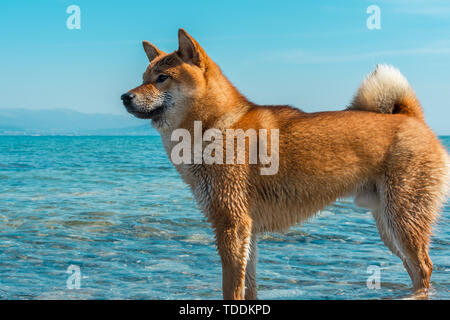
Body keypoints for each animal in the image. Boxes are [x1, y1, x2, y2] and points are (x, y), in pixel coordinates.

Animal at [121, 28, 448, 298]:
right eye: (143, 77)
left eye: (162, 78)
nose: (125, 96)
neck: (216, 126)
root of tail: (413, 119)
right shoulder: (246, 229)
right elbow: (248, 285)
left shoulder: (231, 223)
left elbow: (231, 286)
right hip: (388, 225)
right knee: (417, 269)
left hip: (402, 219)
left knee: (425, 267)